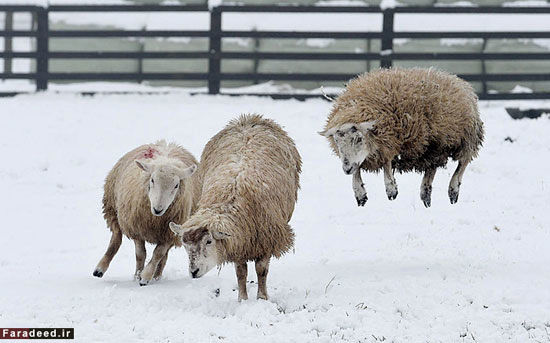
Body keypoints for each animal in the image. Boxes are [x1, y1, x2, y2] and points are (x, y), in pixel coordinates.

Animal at [92, 141, 201, 286]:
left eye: (176, 185)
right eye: (152, 180)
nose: (158, 209)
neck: (154, 219)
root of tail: (165, 143)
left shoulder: (170, 234)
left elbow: (158, 254)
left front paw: (146, 276)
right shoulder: (136, 228)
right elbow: (140, 254)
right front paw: (137, 276)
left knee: (163, 258)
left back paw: (157, 277)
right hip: (112, 209)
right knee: (116, 239)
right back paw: (100, 269)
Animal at [170, 115, 304, 300]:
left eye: (209, 241)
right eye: (184, 244)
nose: (194, 272)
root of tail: (248, 118)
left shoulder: (266, 239)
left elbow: (261, 270)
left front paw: (262, 298)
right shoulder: (239, 242)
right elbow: (241, 272)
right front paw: (242, 299)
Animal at [322, 67, 486, 207]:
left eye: (359, 139)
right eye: (336, 141)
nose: (346, 169)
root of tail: (459, 81)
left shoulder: (389, 142)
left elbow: (386, 164)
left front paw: (391, 189)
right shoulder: (369, 153)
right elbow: (357, 173)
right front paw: (360, 195)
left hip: (467, 139)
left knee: (462, 164)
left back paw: (453, 191)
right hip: (435, 145)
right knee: (431, 168)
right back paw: (426, 195)